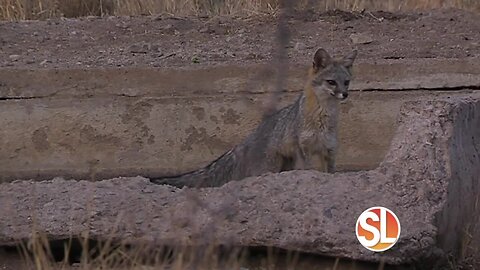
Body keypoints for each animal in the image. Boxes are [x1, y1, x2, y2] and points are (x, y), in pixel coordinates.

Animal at [150, 48, 356, 188]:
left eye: (346, 82)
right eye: (331, 82)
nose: (345, 94)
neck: (322, 119)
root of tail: (245, 140)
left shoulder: (328, 151)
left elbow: (330, 173)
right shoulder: (305, 149)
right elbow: (308, 170)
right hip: (270, 167)